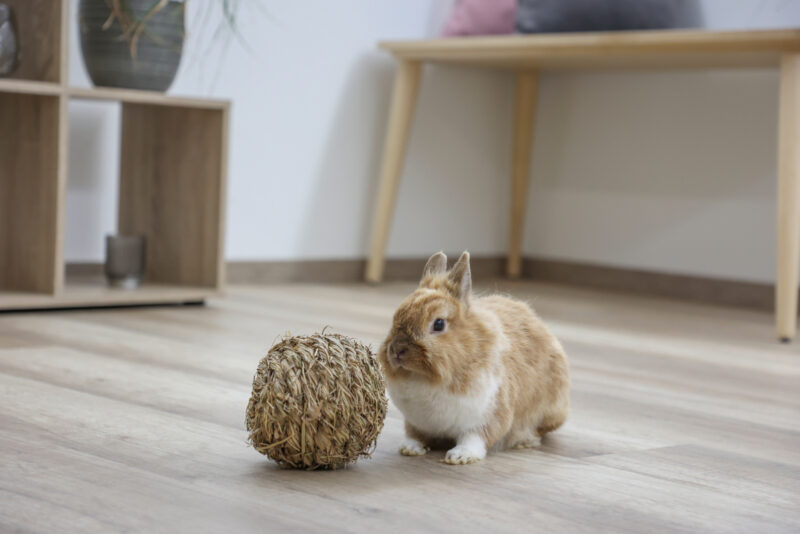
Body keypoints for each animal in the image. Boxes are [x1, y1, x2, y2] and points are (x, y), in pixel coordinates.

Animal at [380, 251, 568, 464]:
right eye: (396, 316)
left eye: (438, 324)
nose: (397, 350)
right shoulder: (416, 421)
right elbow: (414, 434)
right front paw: (410, 448)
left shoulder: (489, 414)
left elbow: (477, 437)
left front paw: (460, 456)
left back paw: (524, 440)